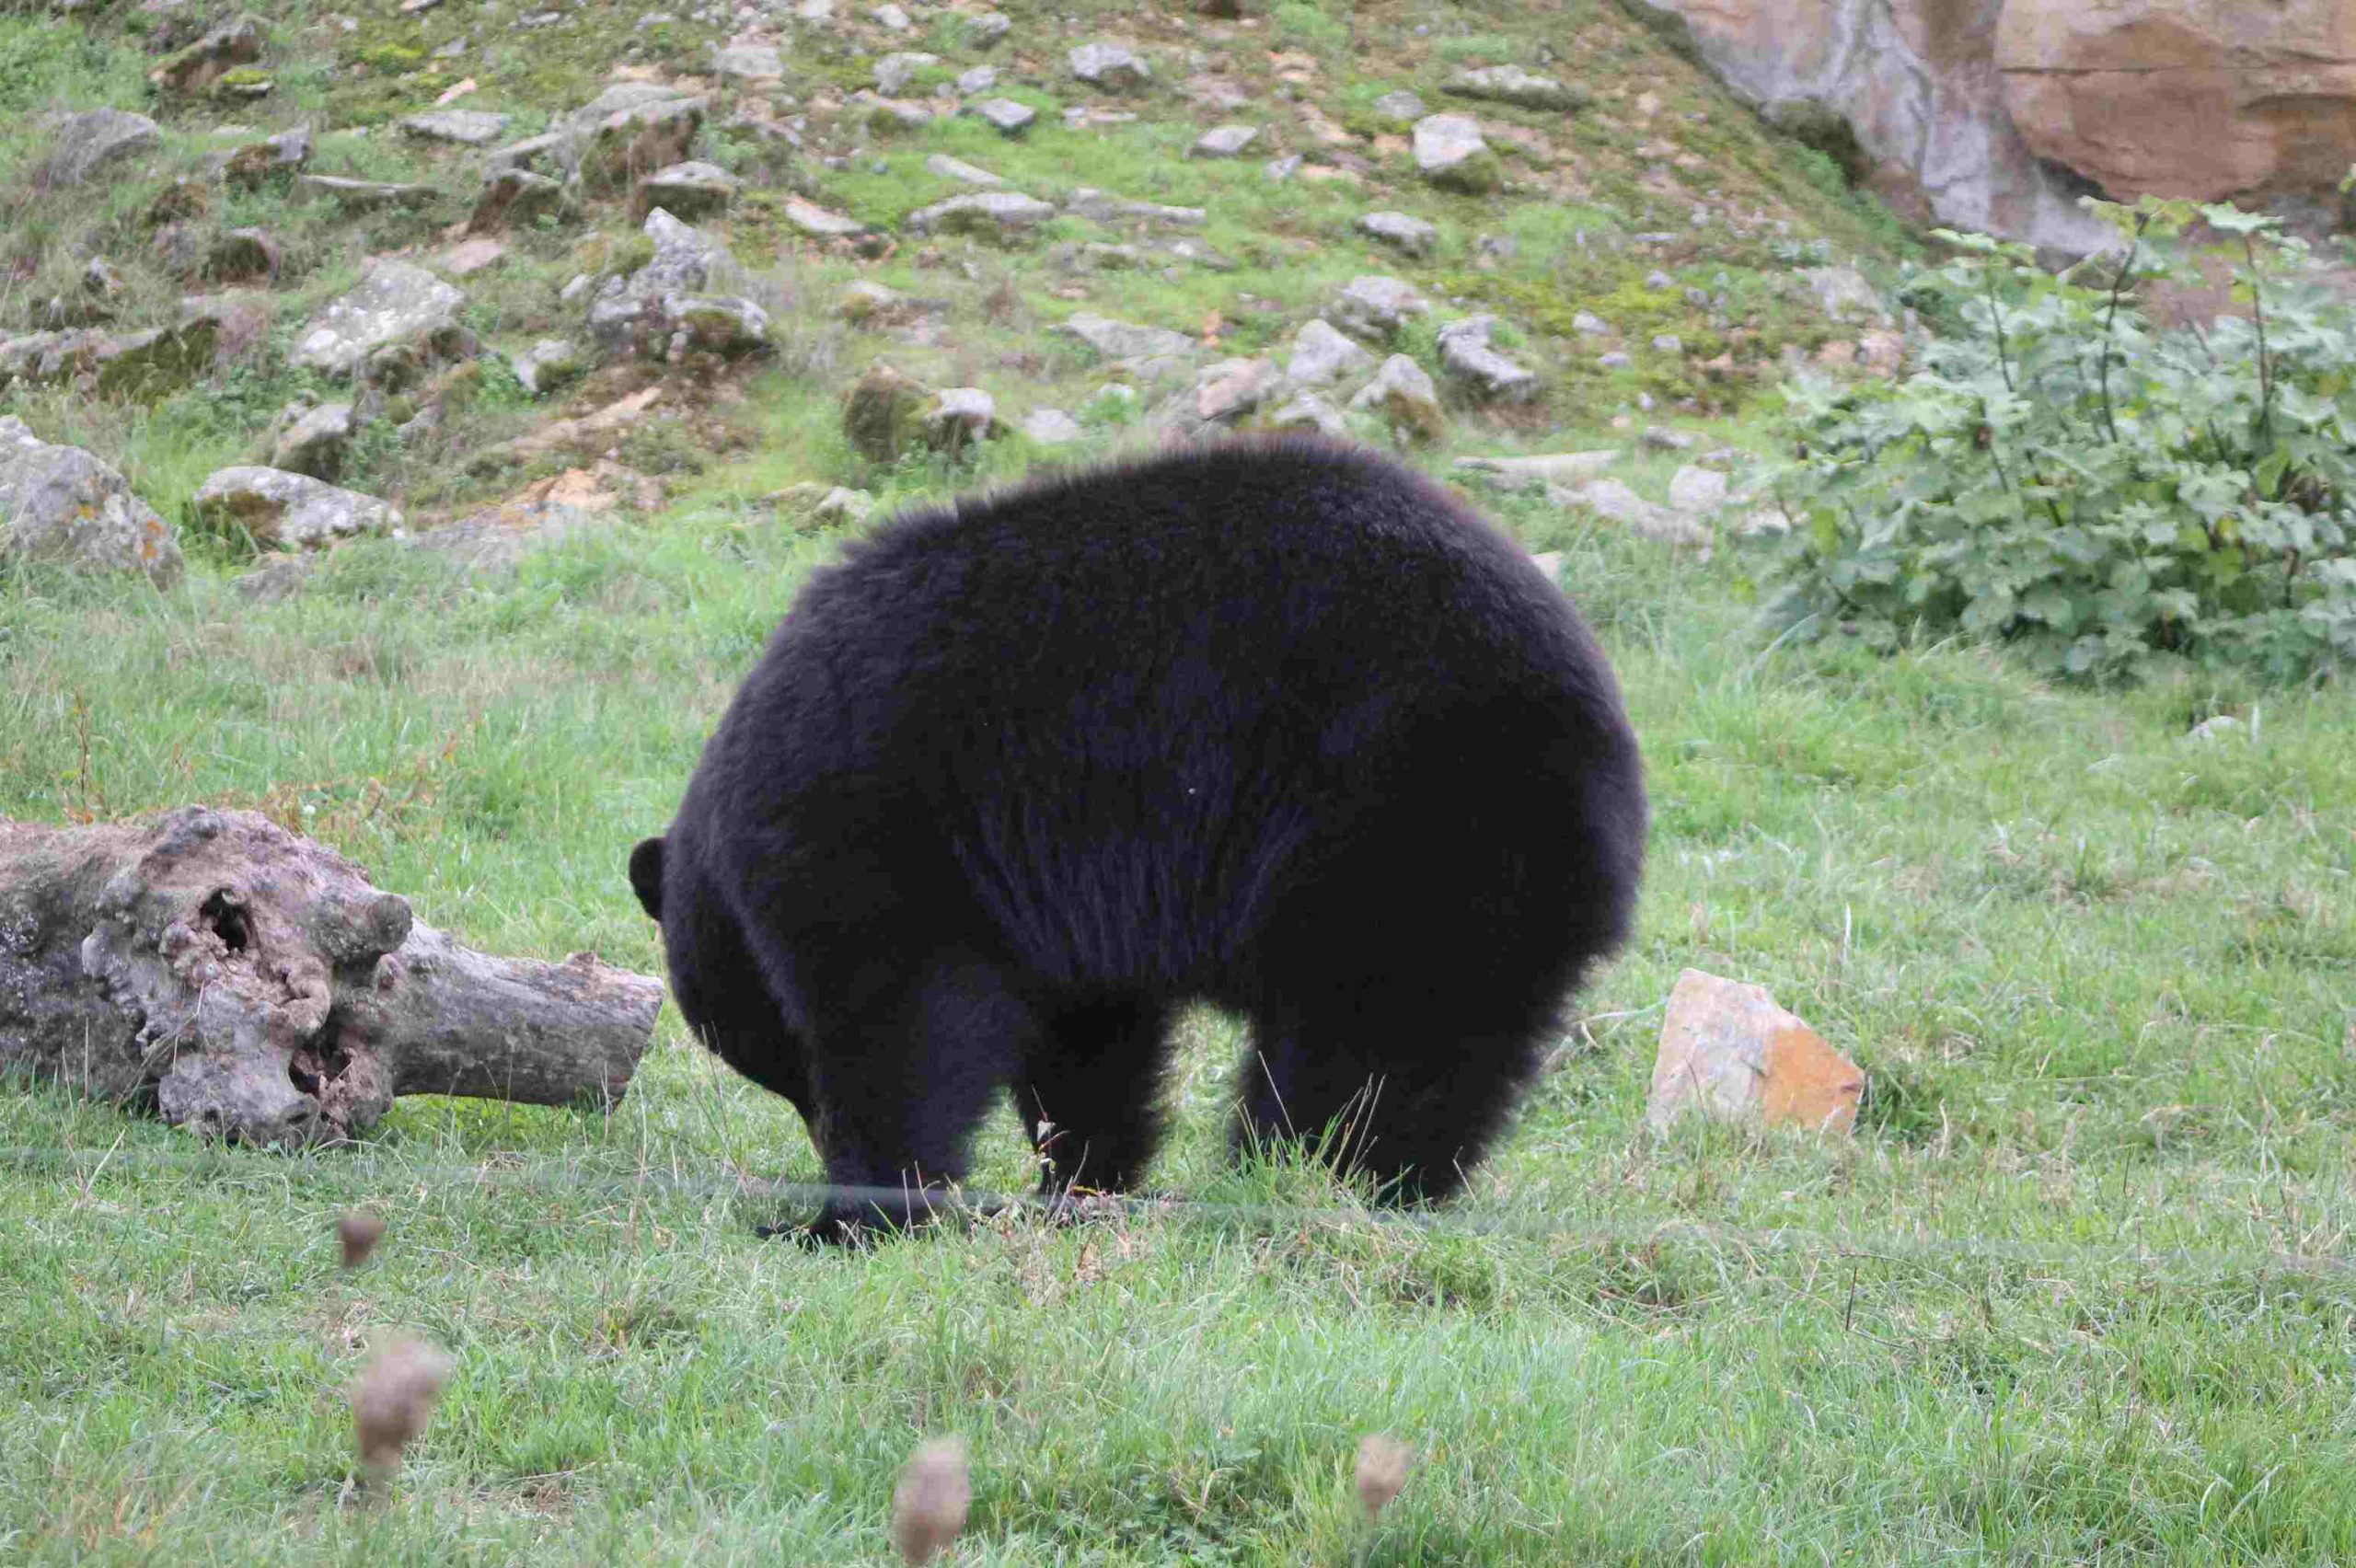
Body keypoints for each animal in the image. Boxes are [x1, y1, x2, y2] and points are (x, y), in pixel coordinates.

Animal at [628, 437, 1646, 1242]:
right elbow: (1088, 1042)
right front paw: (1076, 1184)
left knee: (1367, 1037)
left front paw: (852, 1213)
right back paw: (1392, 1187)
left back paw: (1302, 1179)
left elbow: (900, 1019)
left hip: (1401, 812)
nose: (808, 1129)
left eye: (775, 1063)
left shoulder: (880, 825)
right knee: (1445, 1051)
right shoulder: (1055, 898)